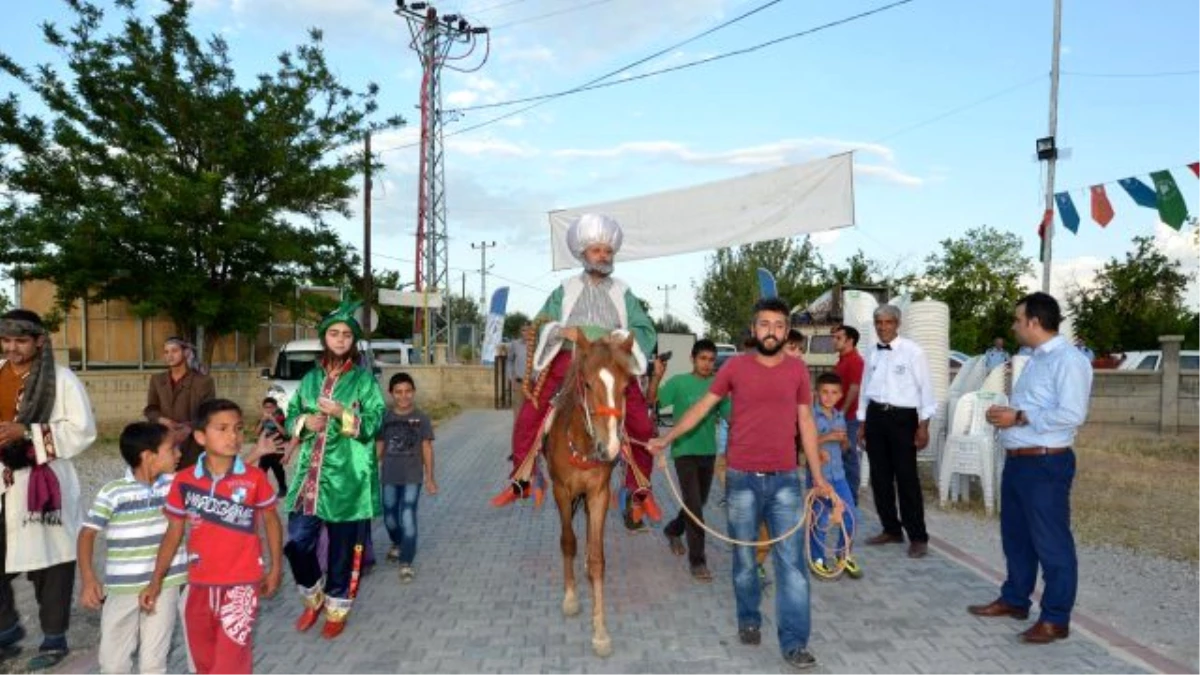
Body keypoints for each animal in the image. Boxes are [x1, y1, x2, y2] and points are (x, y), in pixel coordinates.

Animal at [544, 331, 638, 658]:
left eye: (626, 387)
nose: (609, 447)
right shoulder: (561, 491)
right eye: (586, 384)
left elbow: (598, 559)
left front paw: (600, 632)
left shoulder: (599, 494)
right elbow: (567, 542)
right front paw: (571, 598)